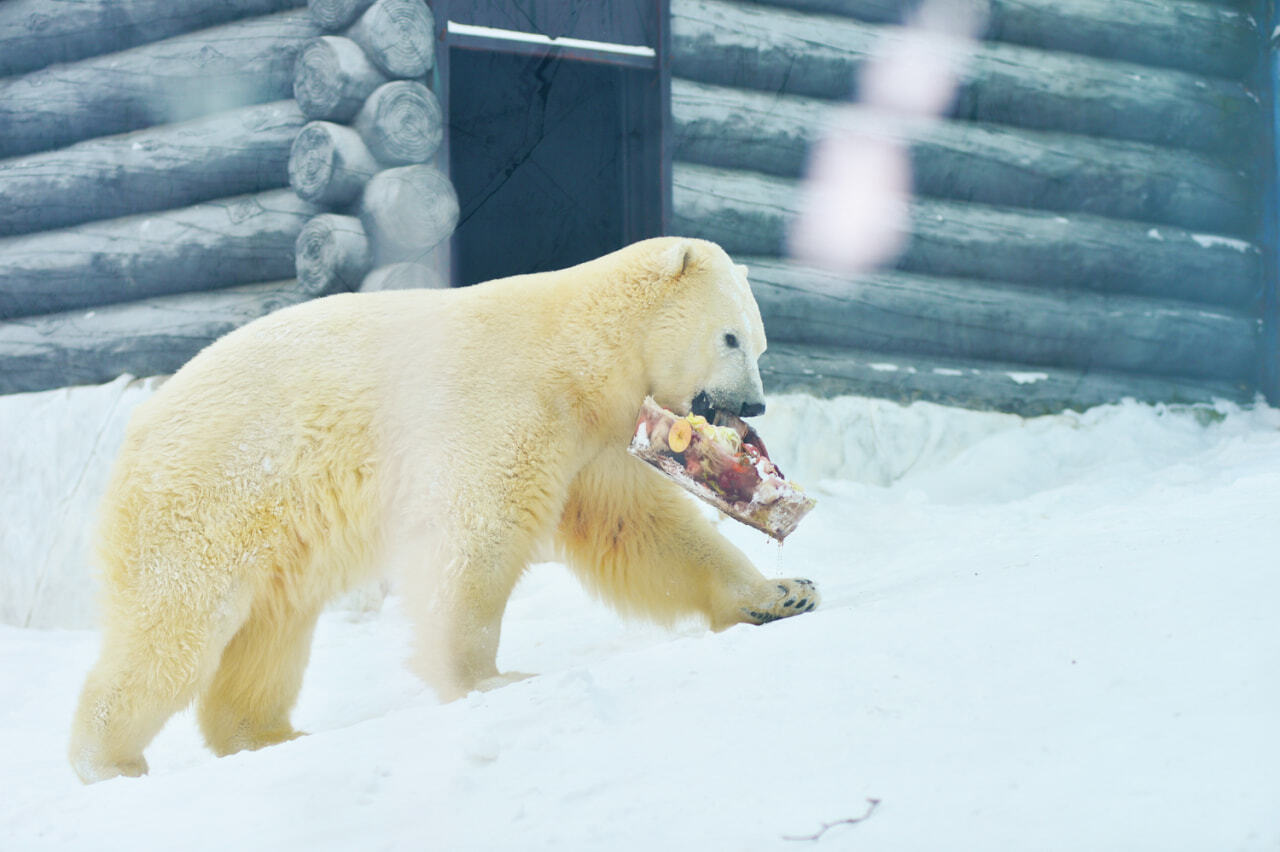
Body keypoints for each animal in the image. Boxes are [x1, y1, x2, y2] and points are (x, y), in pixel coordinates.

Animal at [70, 235, 819, 777]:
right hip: (209, 498)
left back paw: (270, 735)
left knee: (269, 633)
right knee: (177, 627)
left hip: (277, 536)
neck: (574, 353)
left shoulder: (594, 446)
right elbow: (478, 537)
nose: (753, 405)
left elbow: (644, 531)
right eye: (730, 337)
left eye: (760, 341)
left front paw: (785, 592)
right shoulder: (504, 407)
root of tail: (135, 432)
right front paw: (491, 679)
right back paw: (109, 761)